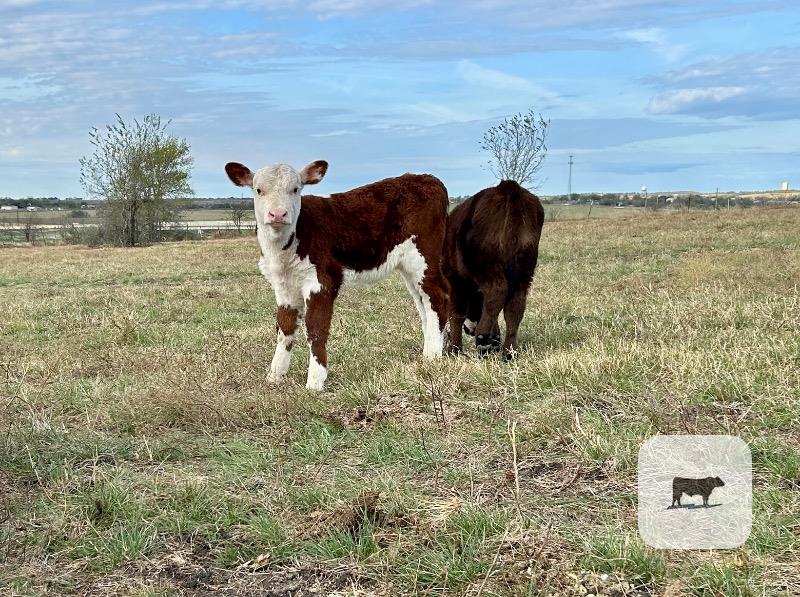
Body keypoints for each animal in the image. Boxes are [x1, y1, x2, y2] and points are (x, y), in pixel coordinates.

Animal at [225, 160, 450, 391]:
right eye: (258, 190)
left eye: (295, 189)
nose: (278, 214)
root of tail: (427, 178)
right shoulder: (283, 286)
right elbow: (284, 327)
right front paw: (275, 374)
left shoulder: (322, 281)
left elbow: (316, 329)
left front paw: (315, 381)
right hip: (409, 269)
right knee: (423, 303)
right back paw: (429, 350)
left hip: (423, 257)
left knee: (438, 296)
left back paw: (432, 357)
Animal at [443, 180, 544, 357]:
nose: (469, 330)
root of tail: (508, 187)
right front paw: (495, 339)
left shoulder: (455, 280)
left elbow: (457, 314)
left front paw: (454, 350)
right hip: (524, 268)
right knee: (515, 304)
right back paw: (509, 351)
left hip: (486, 266)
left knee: (497, 293)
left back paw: (483, 339)